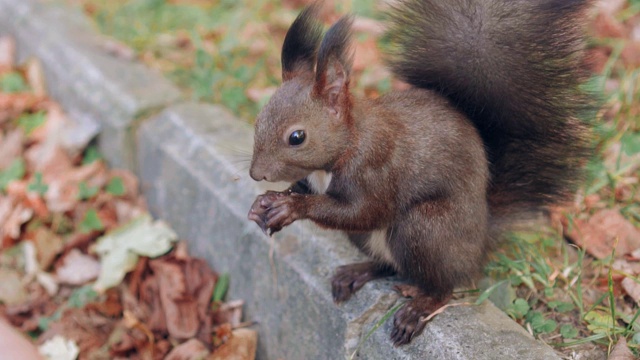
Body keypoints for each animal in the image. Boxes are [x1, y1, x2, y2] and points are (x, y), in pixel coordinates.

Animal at [248, 0, 592, 346]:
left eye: (297, 137)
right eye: (258, 120)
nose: (256, 174)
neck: (343, 148)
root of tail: (481, 240)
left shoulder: (375, 166)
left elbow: (363, 211)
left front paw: (290, 207)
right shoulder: (315, 179)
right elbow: (308, 189)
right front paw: (264, 204)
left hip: (426, 229)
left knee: (442, 286)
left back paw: (418, 308)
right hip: (372, 240)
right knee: (392, 266)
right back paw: (359, 272)